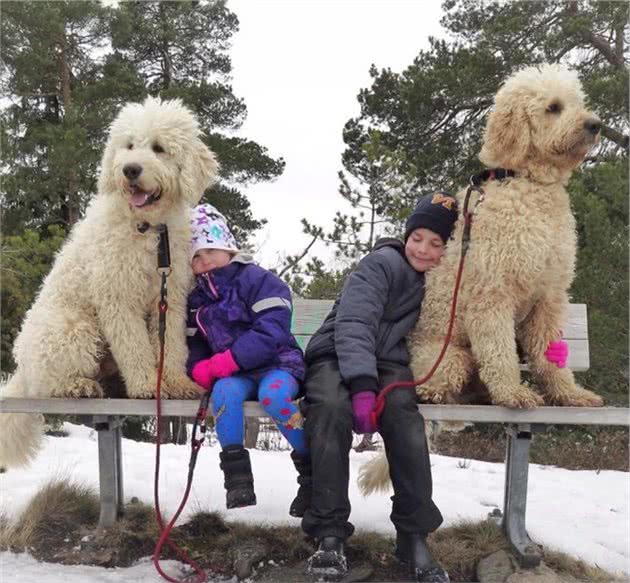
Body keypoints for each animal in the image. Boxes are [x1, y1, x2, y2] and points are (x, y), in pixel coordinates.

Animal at [0, 98, 218, 468]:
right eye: (128, 145)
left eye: (159, 148)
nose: (130, 169)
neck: (148, 229)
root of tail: (21, 371)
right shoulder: (118, 295)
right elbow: (134, 345)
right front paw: (147, 385)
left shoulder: (170, 297)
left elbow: (172, 345)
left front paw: (175, 382)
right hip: (72, 329)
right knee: (50, 381)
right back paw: (79, 386)